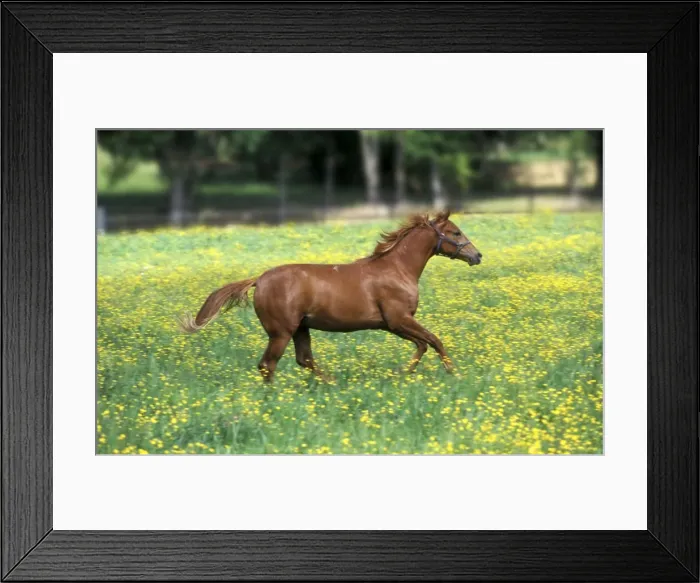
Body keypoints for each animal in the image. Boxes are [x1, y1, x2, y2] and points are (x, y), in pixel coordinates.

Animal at [179, 210, 482, 382]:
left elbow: (422, 345)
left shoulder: (392, 325)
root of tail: (259, 279)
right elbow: (435, 341)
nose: (477, 255)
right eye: (455, 232)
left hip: (301, 328)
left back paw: (332, 383)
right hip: (281, 332)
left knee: (304, 360)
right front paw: (455, 374)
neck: (396, 269)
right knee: (268, 365)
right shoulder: (399, 319)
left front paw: (401, 374)